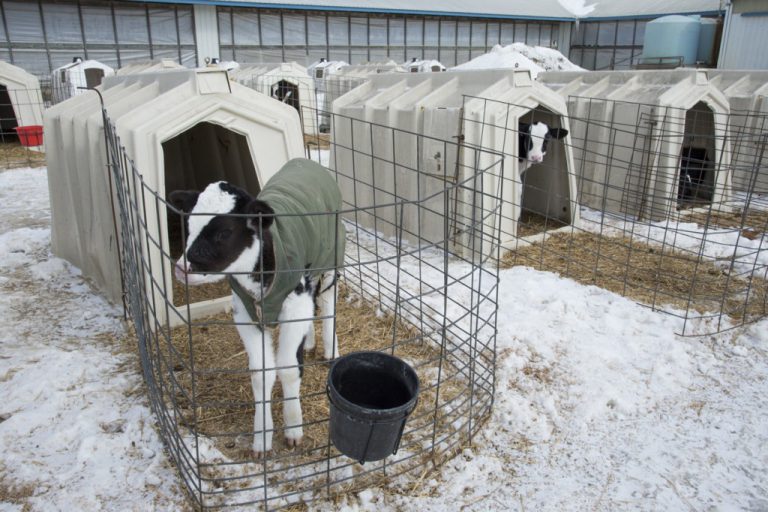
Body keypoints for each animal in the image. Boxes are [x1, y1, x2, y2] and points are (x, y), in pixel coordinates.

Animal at [172, 160, 346, 456]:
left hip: (332, 257)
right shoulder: (245, 313)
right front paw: (261, 438)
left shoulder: (295, 303)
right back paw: (310, 342)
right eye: (189, 225)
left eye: (224, 232)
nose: (182, 269)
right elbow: (260, 373)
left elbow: (288, 368)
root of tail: (306, 162)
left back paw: (329, 349)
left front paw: (293, 428)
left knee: (326, 302)